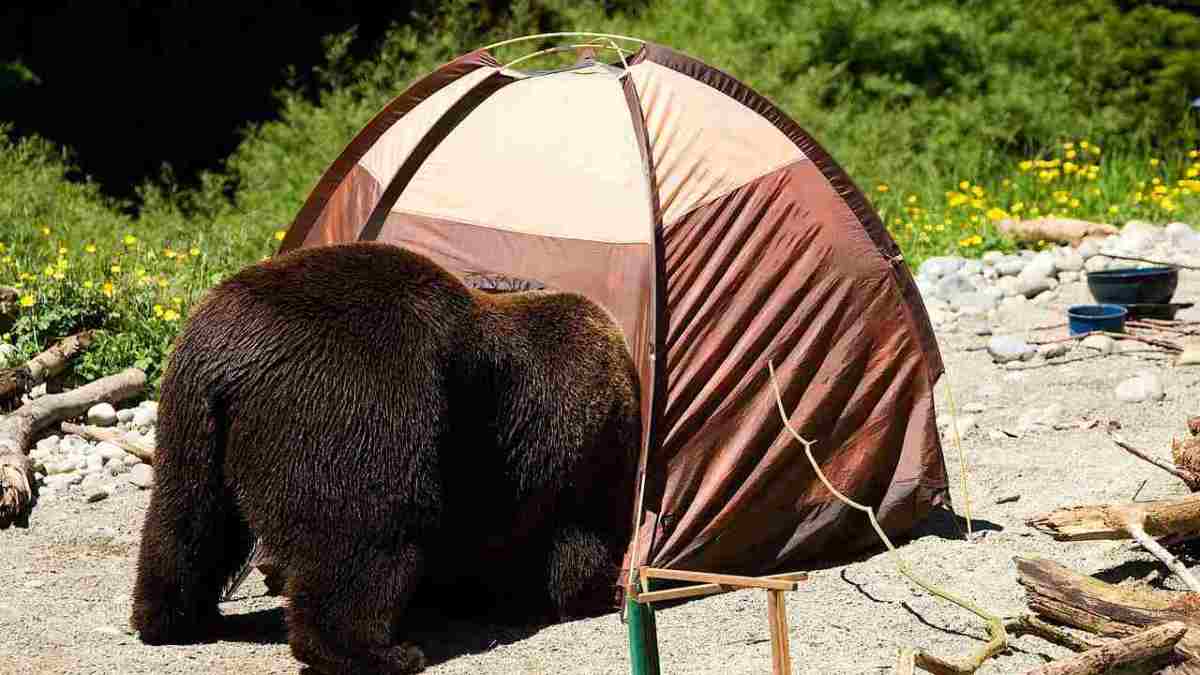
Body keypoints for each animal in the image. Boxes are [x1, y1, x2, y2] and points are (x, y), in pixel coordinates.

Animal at [130, 241, 642, 674]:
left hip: (193, 420)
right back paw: (376, 652)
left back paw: (174, 618)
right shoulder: (563, 454)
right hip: (359, 402)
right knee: (367, 531)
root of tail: (233, 355)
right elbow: (572, 537)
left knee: (187, 519)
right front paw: (583, 594)